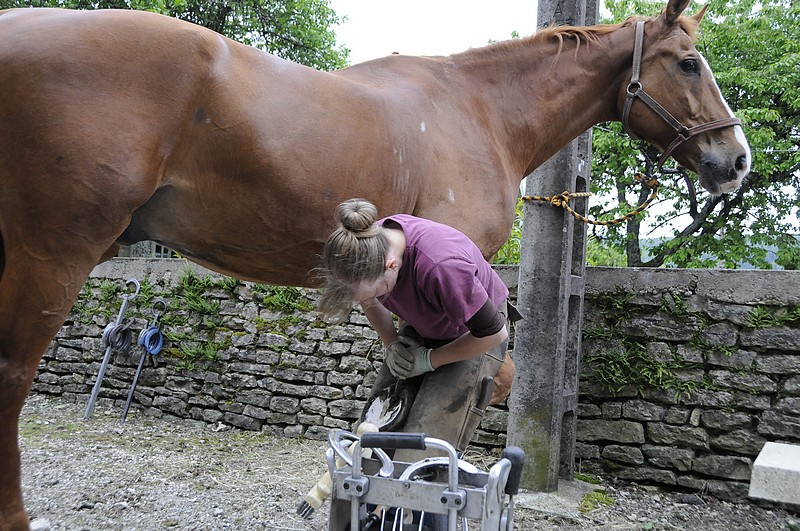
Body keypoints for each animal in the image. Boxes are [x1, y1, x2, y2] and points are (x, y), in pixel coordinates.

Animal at [0, 0, 749, 527]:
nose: (736, 160)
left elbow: (396, 391)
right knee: (12, 378)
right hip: (53, 254)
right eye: (689, 63)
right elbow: (471, 384)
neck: (480, 111)